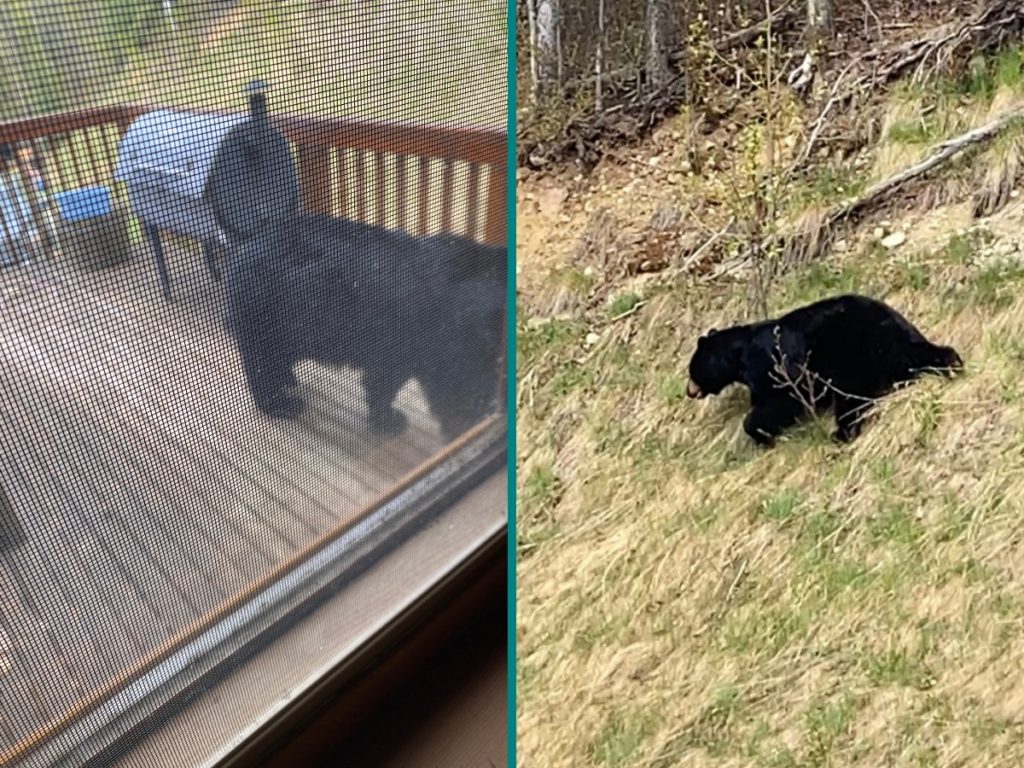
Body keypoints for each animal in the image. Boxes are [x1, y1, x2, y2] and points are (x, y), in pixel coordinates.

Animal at [228, 214, 507, 444]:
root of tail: (245, 248)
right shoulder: (418, 338)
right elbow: (392, 383)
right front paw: (391, 421)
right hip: (266, 313)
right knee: (262, 361)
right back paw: (280, 403)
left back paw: (287, 378)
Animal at [684, 296, 962, 450]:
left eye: (692, 371)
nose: (688, 391)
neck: (739, 356)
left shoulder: (771, 368)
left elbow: (778, 402)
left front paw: (761, 434)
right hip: (900, 338)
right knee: (922, 353)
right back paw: (952, 364)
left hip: (848, 357)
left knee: (851, 399)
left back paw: (842, 433)